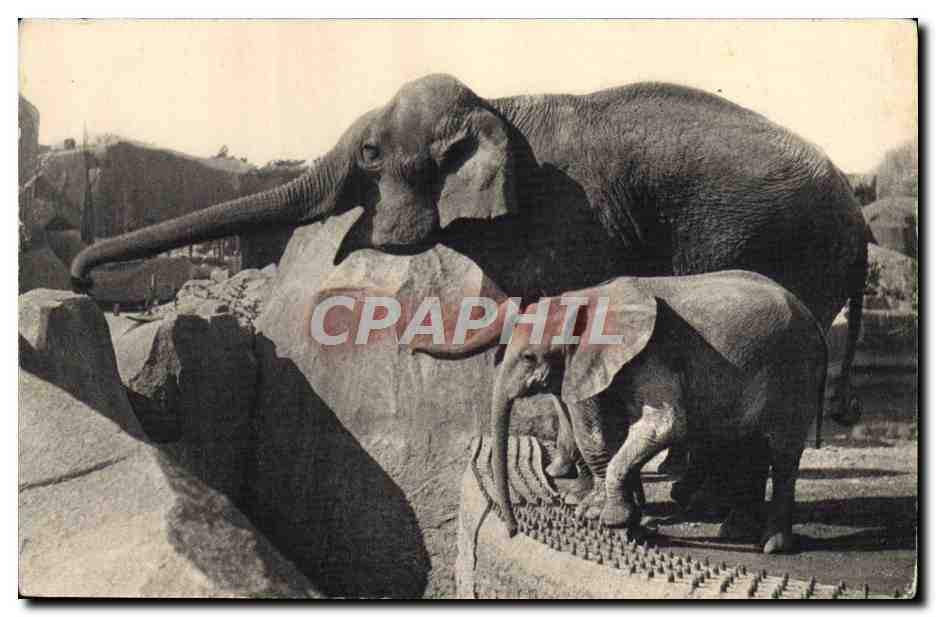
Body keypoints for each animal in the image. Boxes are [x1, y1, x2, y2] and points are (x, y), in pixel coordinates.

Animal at [411, 270, 828, 555]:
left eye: (529, 357)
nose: (512, 532)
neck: (584, 299)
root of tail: (813, 318)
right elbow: (604, 431)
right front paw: (610, 513)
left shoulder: (653, 352)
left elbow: (663, 425)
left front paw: (610, 519)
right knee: (747, 447)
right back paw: (734, 532)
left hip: (794, 371)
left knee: (781, 454)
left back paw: (771, 545)